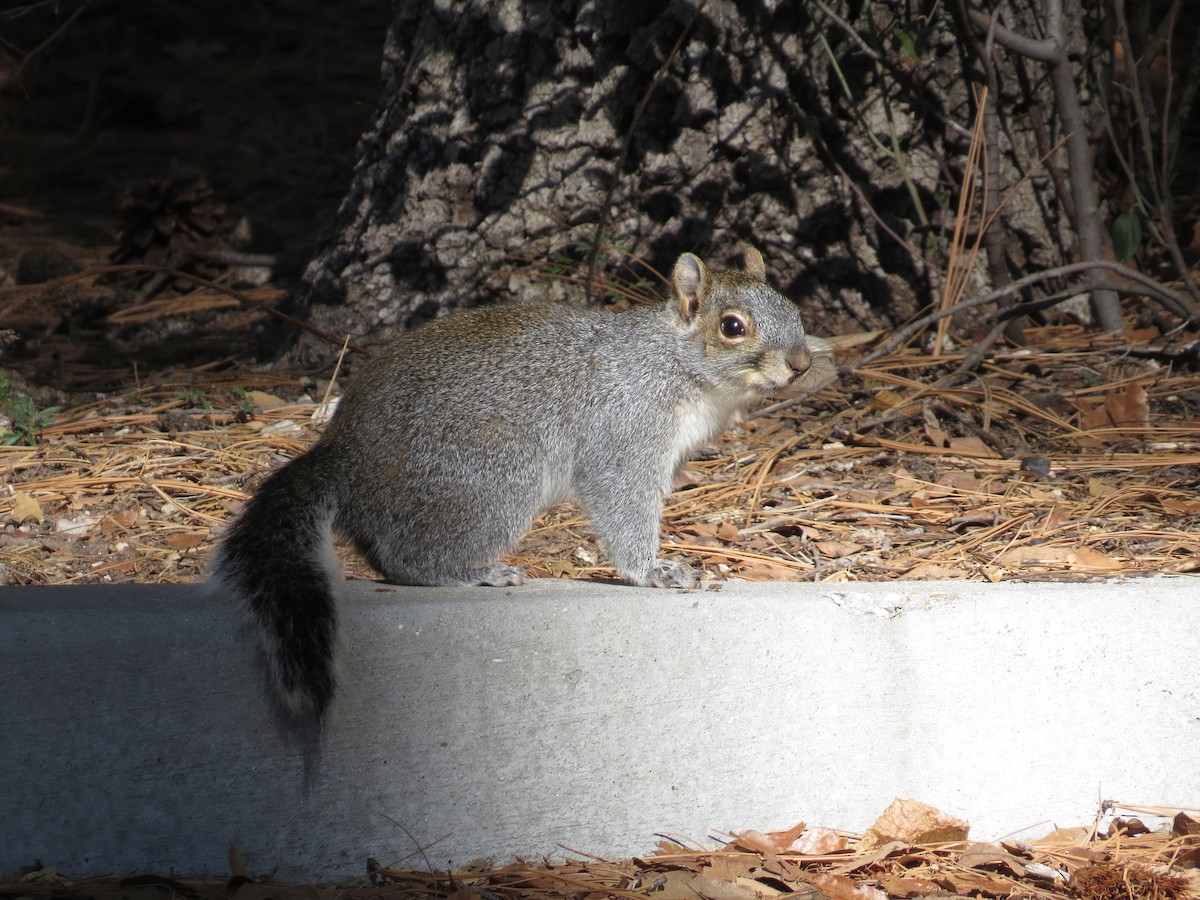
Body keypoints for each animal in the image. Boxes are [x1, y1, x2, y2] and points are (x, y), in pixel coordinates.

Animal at [209, 248, 814, 719]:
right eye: (732, 326)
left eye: (793, 308)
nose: (802, 364)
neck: (674, 363)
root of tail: (346, 456)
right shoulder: (625, 431)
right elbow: (621, 503)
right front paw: (655, 571)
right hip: (497, 473)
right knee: (410, 556)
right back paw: (476, 574)